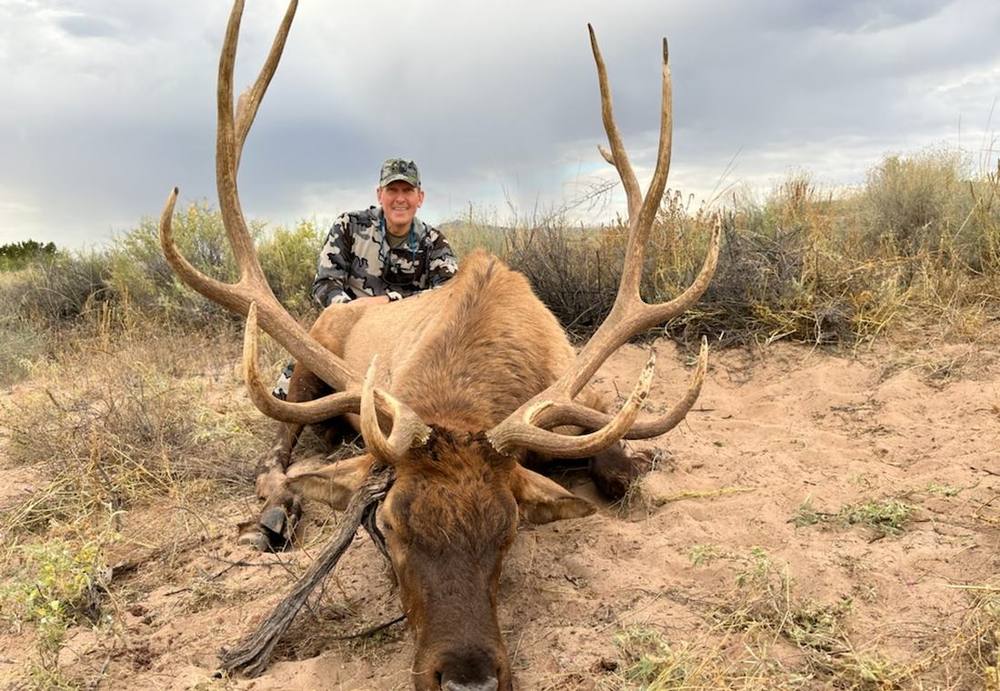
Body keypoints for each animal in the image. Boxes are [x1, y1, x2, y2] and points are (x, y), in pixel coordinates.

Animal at [158, 1, 720, 689]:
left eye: (509, 528)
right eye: (388, 525)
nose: (467, 677)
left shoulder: (581, 408)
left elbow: (620, 472)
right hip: (308, 371)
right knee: (278, 455)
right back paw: (273, 515)